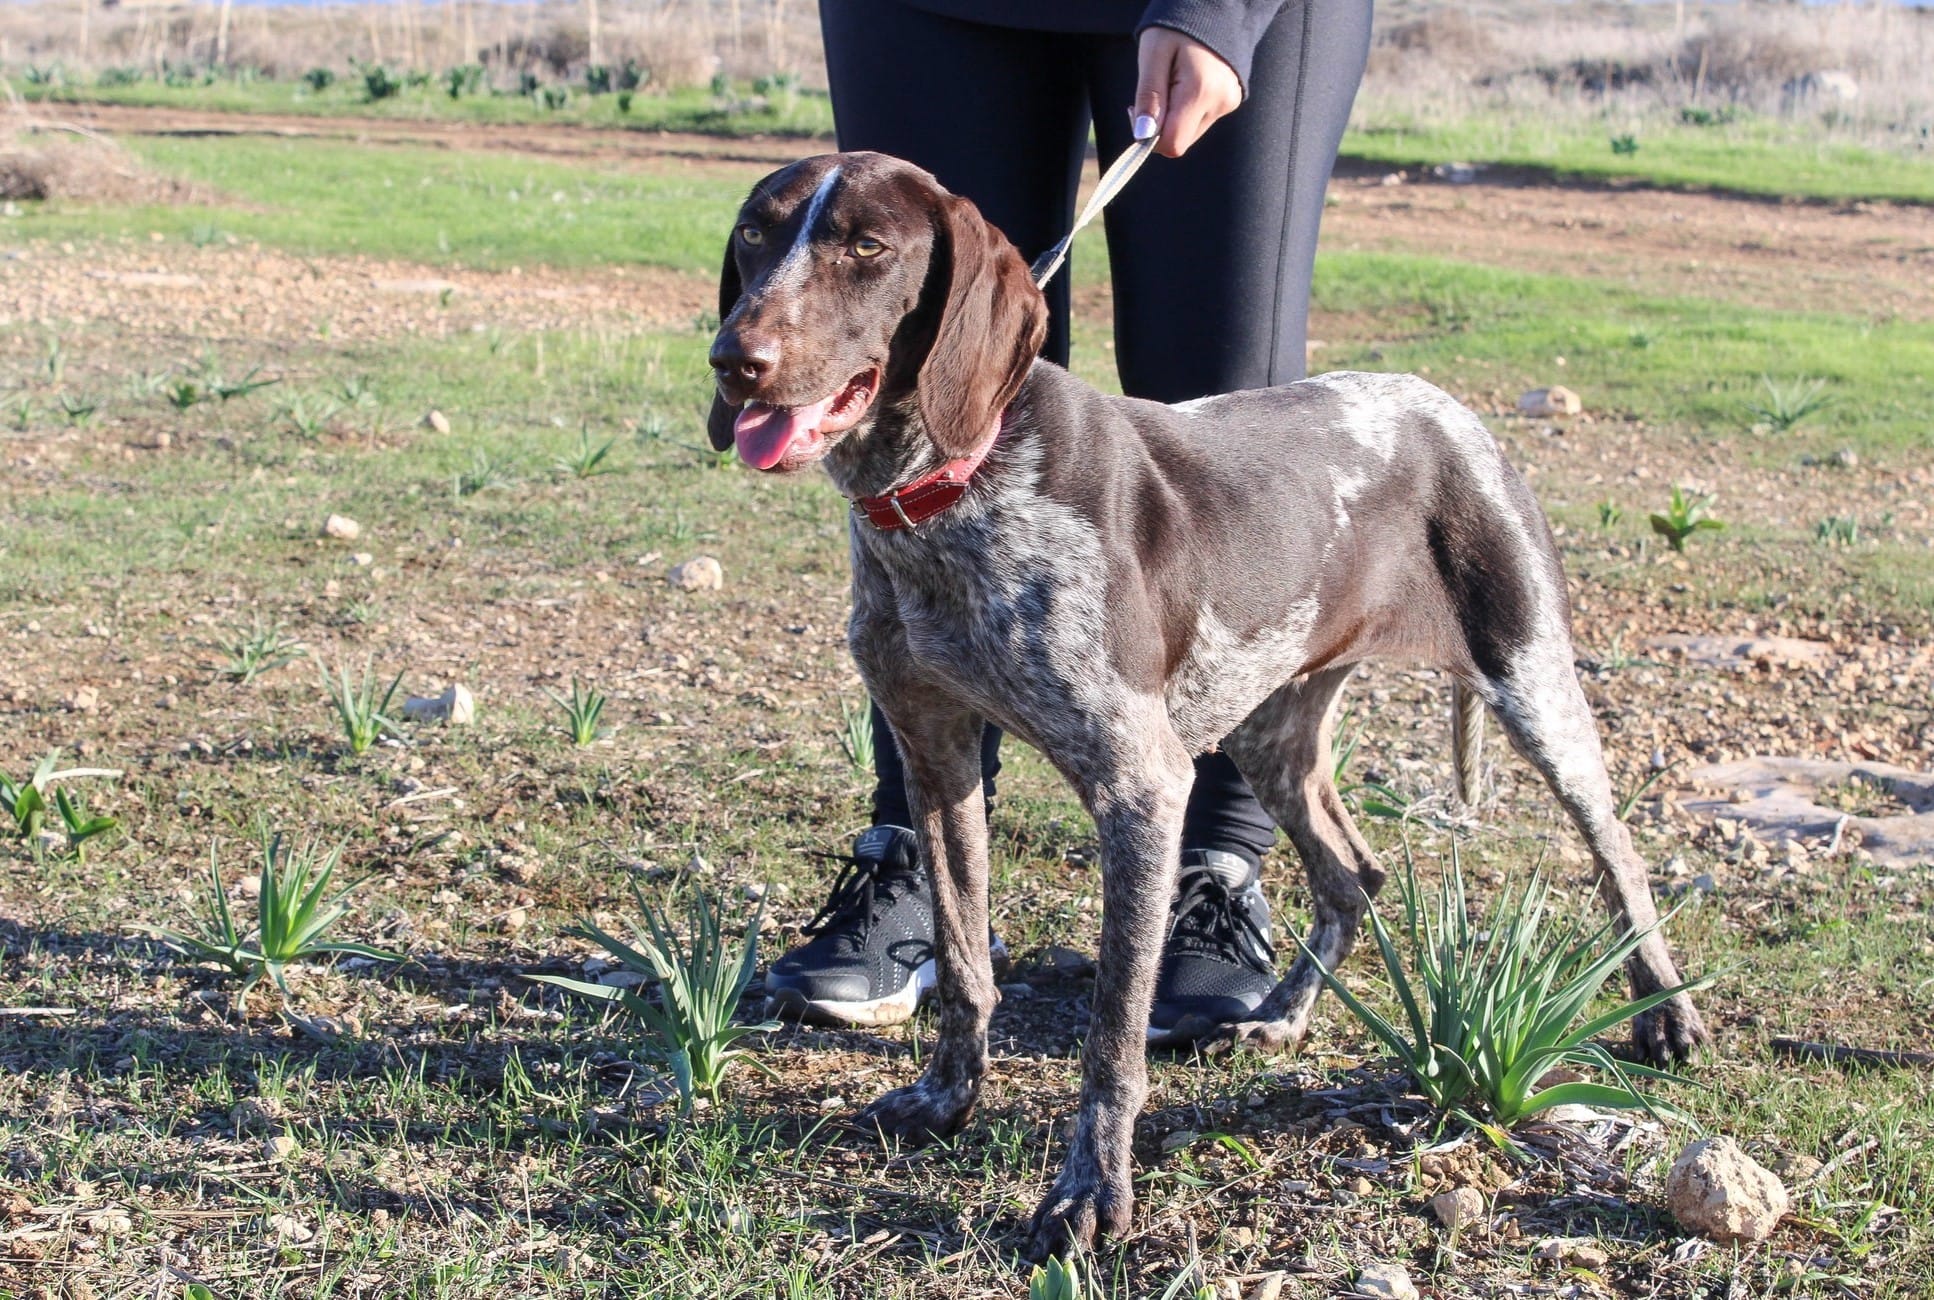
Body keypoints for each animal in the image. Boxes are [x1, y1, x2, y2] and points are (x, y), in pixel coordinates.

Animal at [707, 152, 1709, 1261]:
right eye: (755, 234)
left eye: (867, 247)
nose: (733, 359)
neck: (949, 491)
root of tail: (1441, 405)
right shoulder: (935, 753)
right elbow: (965, 963)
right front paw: (945, 1099)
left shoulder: (1139, 785)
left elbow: (1110, 1033)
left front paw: (1090, 1193)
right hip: (1271, 729)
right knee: (1354, 874)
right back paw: (1282, 1016)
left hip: (1530, 683)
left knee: (1616, 853)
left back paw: (1663, 1012)